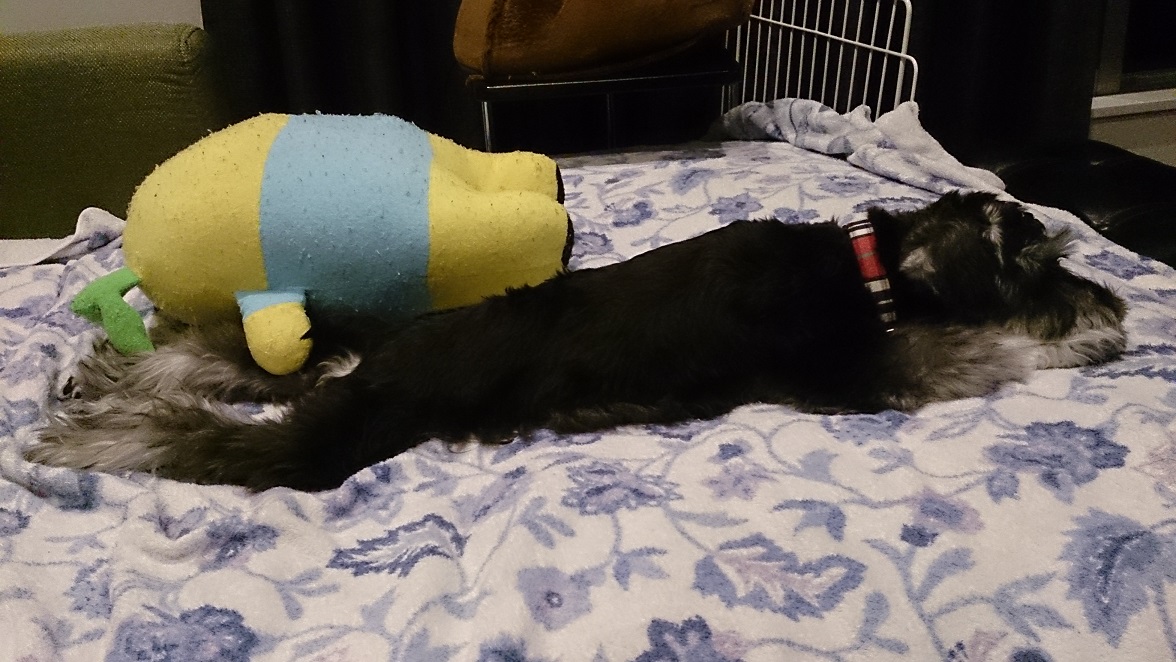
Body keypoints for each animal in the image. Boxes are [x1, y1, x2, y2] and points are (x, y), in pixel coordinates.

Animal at [27, 192, 1127, 492]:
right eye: (1040, 267)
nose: (1120, 307)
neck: (872, 263)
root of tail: (382, 358)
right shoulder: (869, 370)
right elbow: (986, 354)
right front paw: (1073, 347)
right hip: (333, 437)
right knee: (204, 438)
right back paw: (93, 432)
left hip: (336, 360)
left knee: (220, 360)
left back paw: (102, 374)